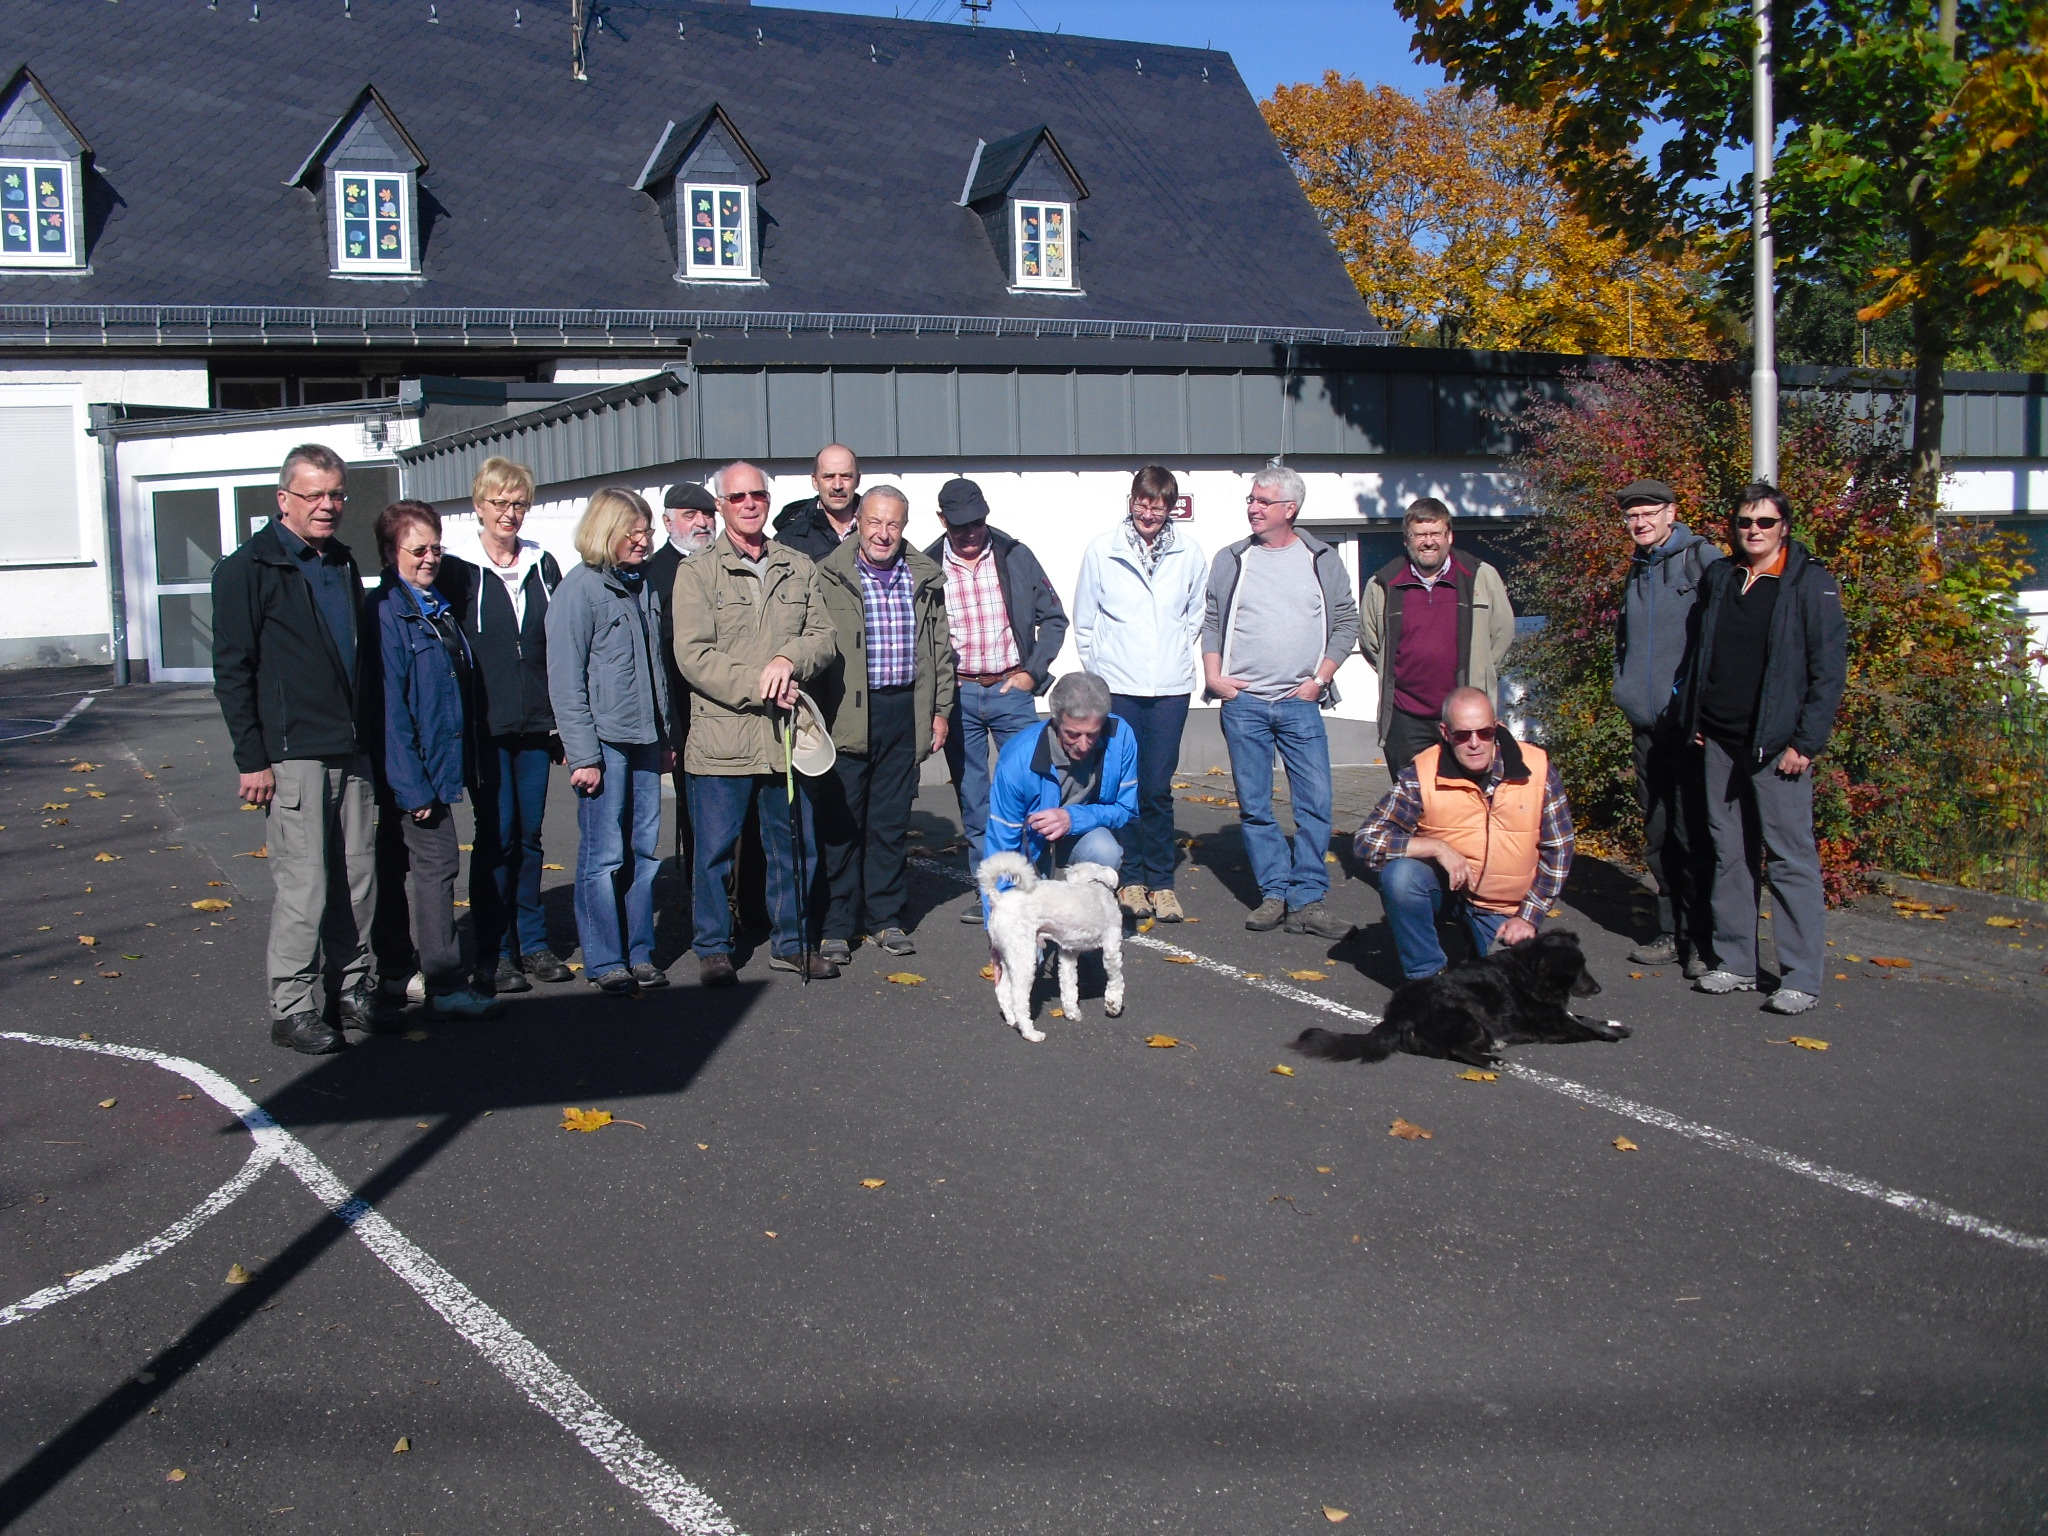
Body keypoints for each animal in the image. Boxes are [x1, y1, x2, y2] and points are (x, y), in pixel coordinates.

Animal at [1286, 925, 1622, 1073]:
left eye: (1585, 965)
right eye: (1576, 970)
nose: (1598, 989)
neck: (1528, 971)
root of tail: (1399, 1014)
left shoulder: (1556, 1013)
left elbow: (1584, 1018)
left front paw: (1613, 1022)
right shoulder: (1548, 1023)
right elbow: (1583, 1027)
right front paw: (1613, 1033)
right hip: (1469, 1015)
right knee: (1457, 1048)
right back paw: (1494, 1059)